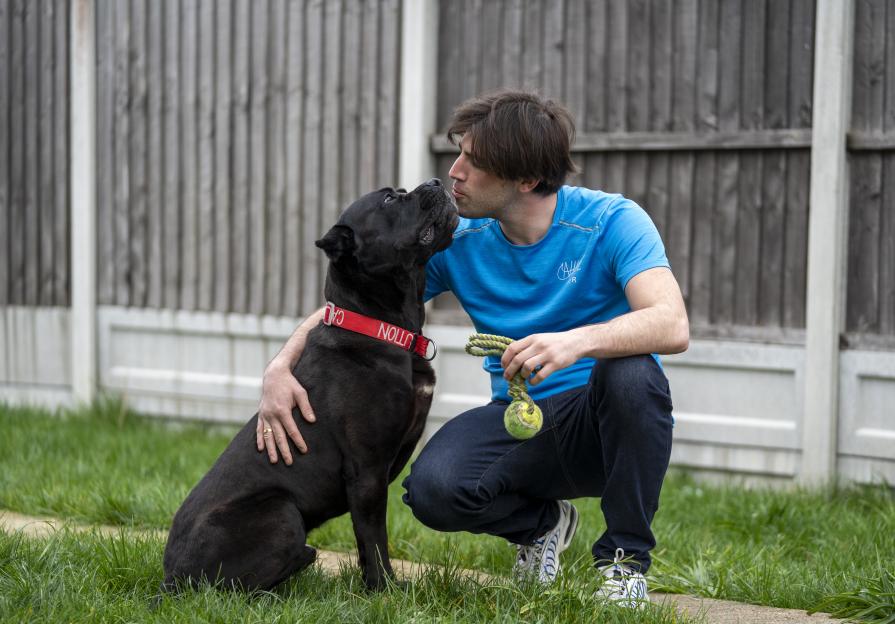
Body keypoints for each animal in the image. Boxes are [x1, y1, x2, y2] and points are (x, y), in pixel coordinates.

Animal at [161, 178, 458, 592]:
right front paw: (384, 590)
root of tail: (171, 579)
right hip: (283, 511)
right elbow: (375, 537)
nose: (434, 181)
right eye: (389, 199)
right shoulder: (366, 469)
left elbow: (366, 542)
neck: (381, 327)